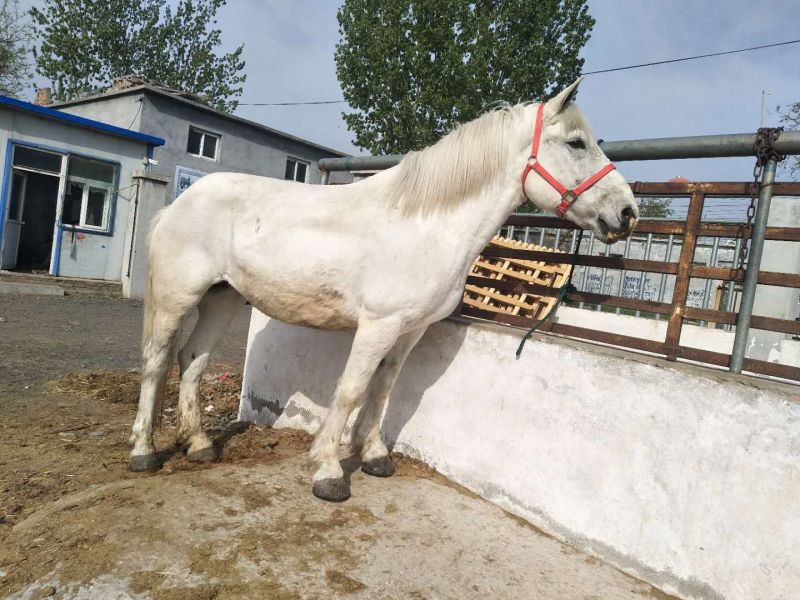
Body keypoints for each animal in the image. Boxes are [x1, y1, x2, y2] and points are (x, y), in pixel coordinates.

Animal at [129, 77, 638, 502]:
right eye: (575, 143)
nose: (628, 213)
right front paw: (329, 472)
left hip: (223, 297)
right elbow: (352, 390)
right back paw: (143, 452)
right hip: (178, 299)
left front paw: (374, 456)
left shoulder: (410, 330)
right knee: (156, 361)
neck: (427, 223)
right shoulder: (377, 325)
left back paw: (198, 445)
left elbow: (384, 388)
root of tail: (179, 202)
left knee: (192, 361)